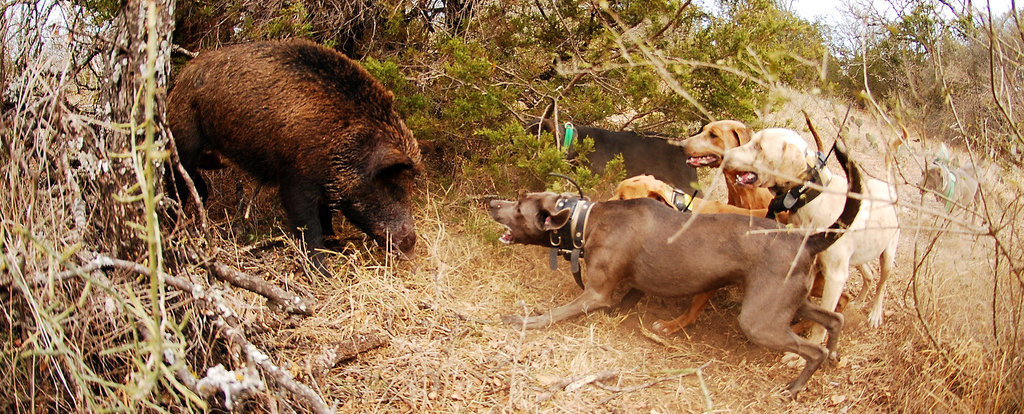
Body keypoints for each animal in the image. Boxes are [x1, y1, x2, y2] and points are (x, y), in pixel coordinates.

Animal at [487, 143, 864, 397]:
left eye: (519, 207)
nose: (491, 202)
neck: (586, 221)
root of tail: (807, 239)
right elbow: (626, 298)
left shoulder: (595, 292)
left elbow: (554, 314)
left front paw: (522, 320)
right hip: (788, 301)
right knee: (835, 318)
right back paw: (834, 354)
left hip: (760, 319)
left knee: (813, 348)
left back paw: (795, 386)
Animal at [724, 128, 901, 346]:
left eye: (759, 147)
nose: (725, 155)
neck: (812, 196)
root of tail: (888, 187)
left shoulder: (835, 276)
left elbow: (821, 323)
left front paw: (809, 346)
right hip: (861, 256)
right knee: (869, 273)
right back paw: (859, 301)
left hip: (888, 254)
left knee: (882, 282)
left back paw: (875, 313)